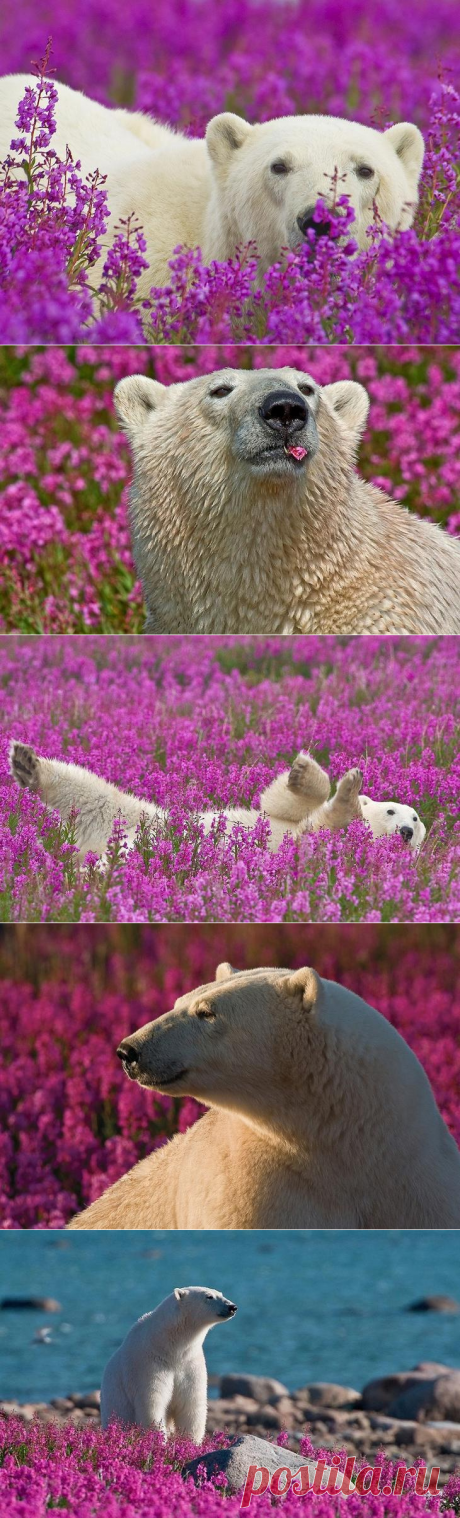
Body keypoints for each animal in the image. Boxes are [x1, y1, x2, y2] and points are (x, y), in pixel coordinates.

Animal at [9, 740, 428, 862]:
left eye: (417, 820)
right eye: (394, 810)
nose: (406, 832)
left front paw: (349, 790)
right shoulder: (288, 819)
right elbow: (277, 803)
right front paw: (306, 771)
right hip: (137, 816)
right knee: (90, 791)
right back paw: (27, 763)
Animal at [100, 1287, 238, 1439]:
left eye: (221, 1294)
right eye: (209, 1296)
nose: (232, 1307)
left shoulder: (190, 1363)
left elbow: (191, 1405)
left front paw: (191, 1441)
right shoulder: (148, 1364)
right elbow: (152, 1403)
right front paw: (158, 1440)